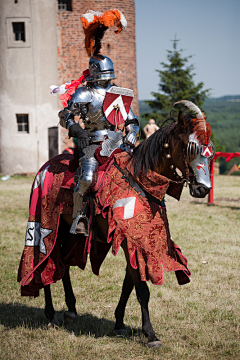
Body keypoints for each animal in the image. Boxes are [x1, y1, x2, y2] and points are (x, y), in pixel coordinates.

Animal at [18, 100, 214, 348]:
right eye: (190, 148)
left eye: (210, 150)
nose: (203, 189)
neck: (141, 180)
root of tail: (45, 167)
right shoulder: (130, 241)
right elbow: (141, 289)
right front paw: (151, 335)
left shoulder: (135, 243)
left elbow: (128, 284)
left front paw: (119, 322)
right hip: (48, 227)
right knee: (47, 260)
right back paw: (51, 315)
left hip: (70, 234)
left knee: (63, 265)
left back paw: (71, 310)